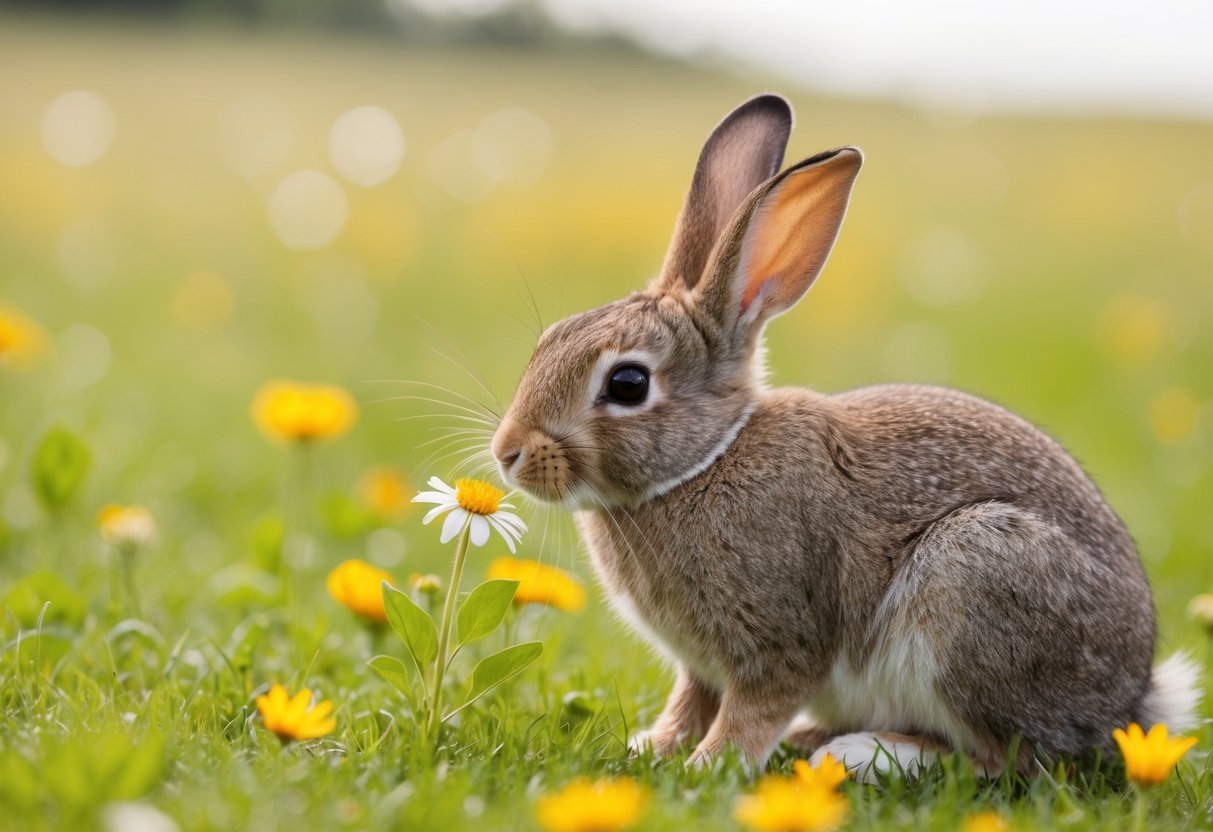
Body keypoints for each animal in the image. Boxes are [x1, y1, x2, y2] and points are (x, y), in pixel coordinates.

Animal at [489, 93, 1201, 781]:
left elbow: (752, 711)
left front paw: (708, 766)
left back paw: (863, 754)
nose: (507, 454)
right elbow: (690, 701)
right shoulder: (700, 667)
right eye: (550, 338)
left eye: (629, 383)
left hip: (975, 577)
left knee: (1006, 760)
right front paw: (657, 746)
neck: (705, 461)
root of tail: (1127, 704)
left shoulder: (779, 642)